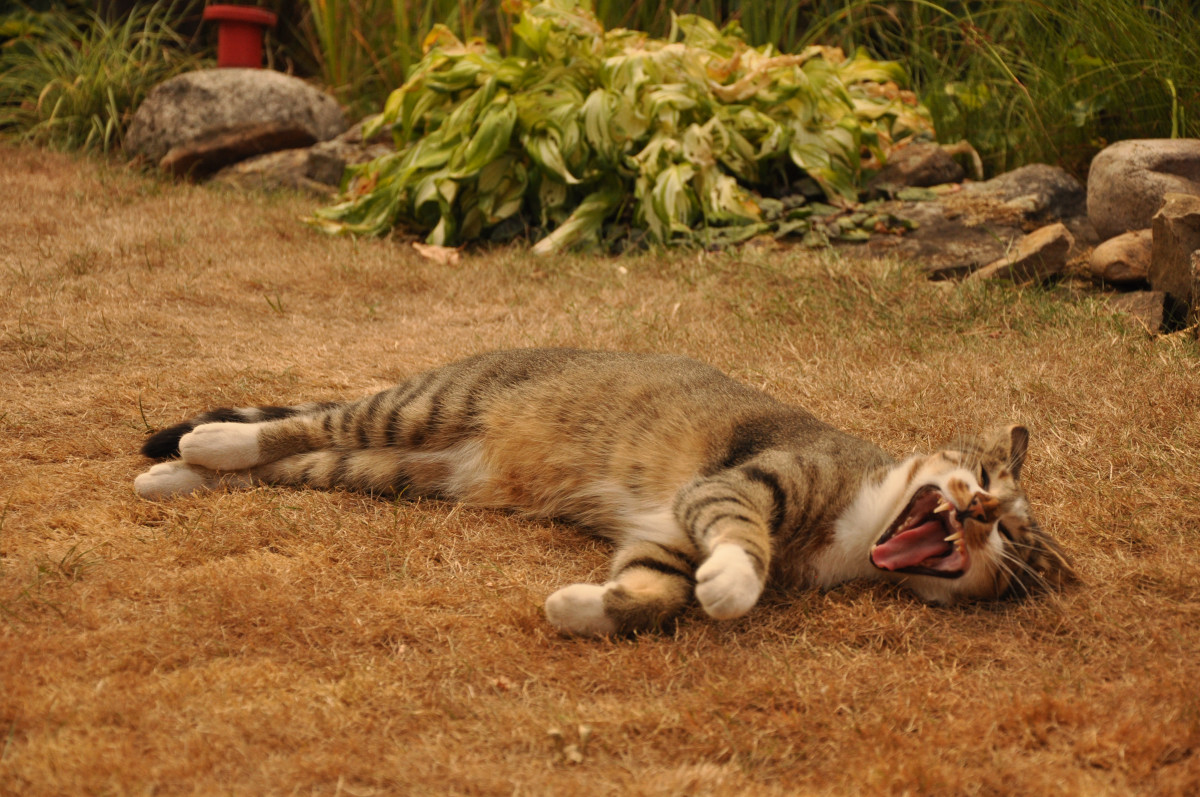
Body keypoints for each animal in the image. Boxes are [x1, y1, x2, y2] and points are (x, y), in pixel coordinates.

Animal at [136, 348, 1075, 633]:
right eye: (986, 483)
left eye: (1011, 545)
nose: (980, 513)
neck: (860, 525)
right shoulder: (741, 482)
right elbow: (741, 543)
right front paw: (733, 585)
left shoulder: (666, 531)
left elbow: (656, 592)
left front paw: (578, 607)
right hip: (414, 413)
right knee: (300, 424)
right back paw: (204, 440)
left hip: (394, 473)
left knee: (291, 462)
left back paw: (174, 472)